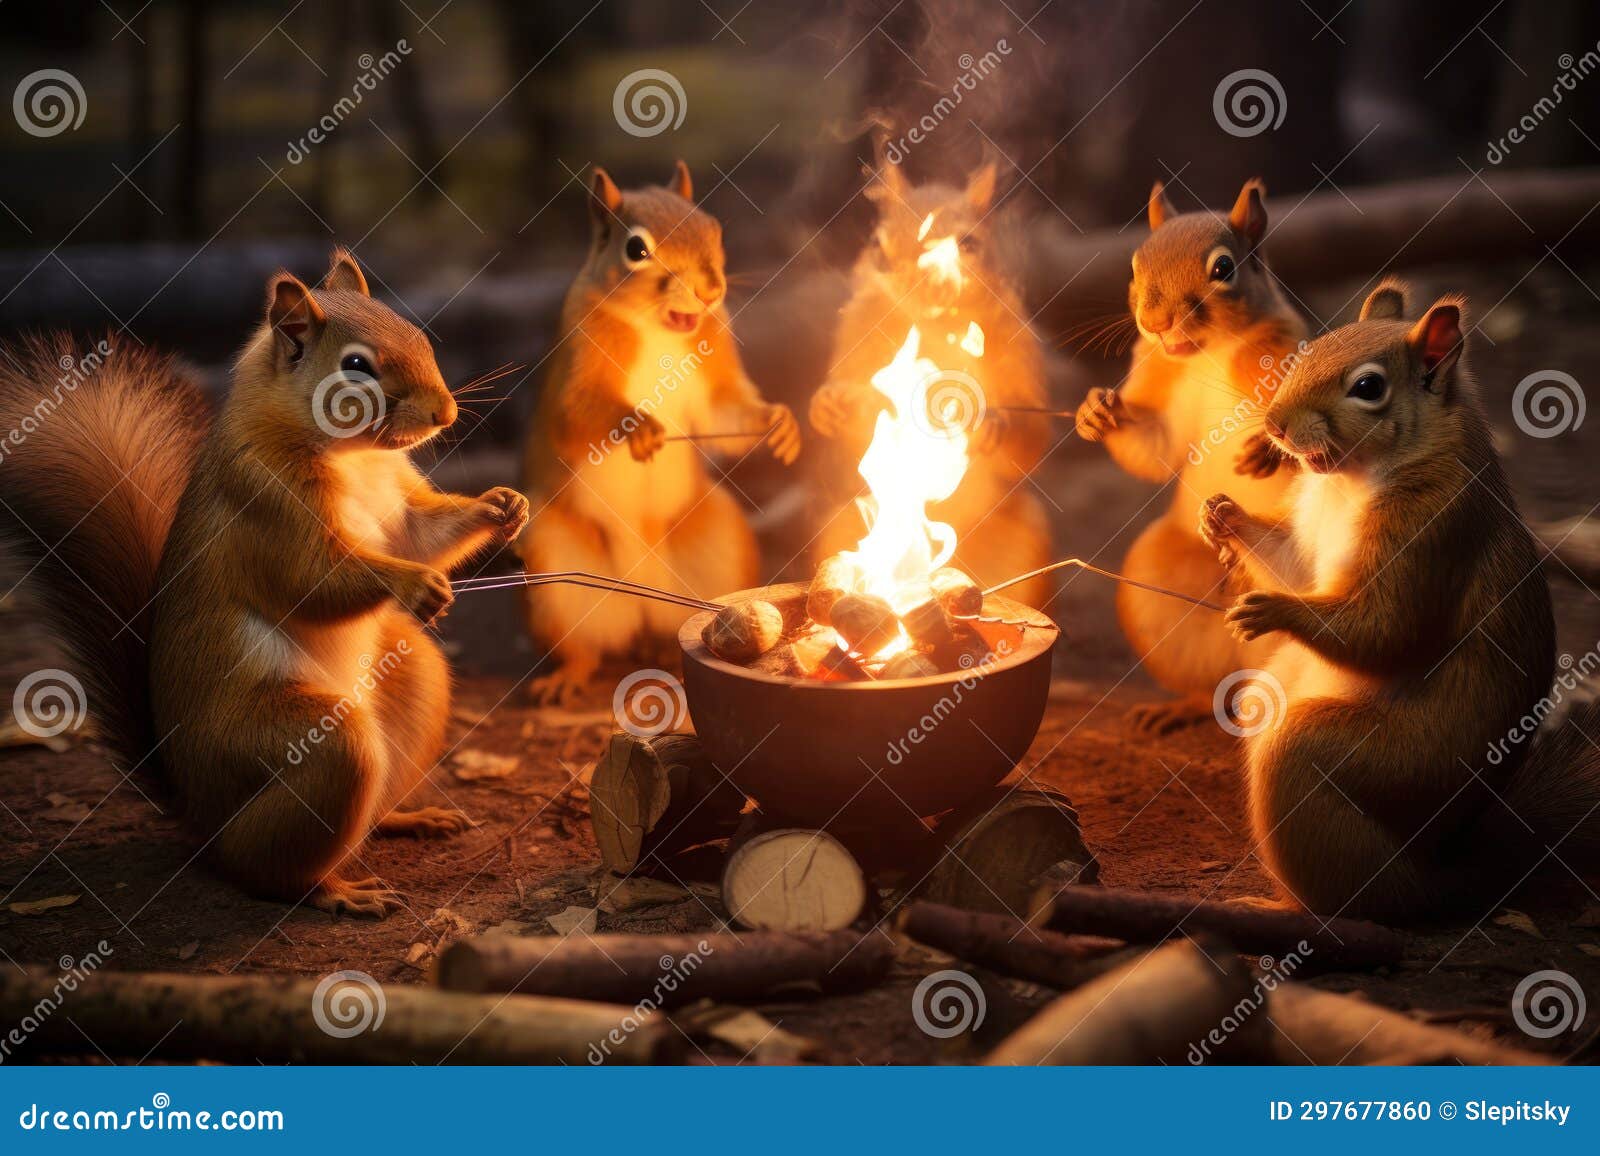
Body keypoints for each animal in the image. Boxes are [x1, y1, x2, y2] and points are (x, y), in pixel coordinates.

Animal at [0, 249, 528, 917]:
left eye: (419, 337)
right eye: (357, 366)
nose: (446, 414)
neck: (351, 457)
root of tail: (198, 813)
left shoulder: (398, 504)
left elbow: (422, 533)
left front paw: (502, 506)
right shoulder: (266, 505)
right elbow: (316, 576)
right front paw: (414, 586)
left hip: (415, 680)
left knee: (365, 811)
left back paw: (407, 820)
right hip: (301, 746)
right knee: (264, 867)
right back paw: (333, 892)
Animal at [518, 162, 800, 703]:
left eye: (714, 229)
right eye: (636, 249)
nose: (711, 290)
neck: (659, 330)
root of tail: (641, 598)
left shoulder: (715, 369)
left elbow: (726, 417)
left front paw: (779, 423)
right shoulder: (576, 365)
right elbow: (578, 414)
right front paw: (643, 429)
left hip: (722, 544)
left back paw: (667, 655)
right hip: (554, 569)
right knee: (583, 646)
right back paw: (567, 677)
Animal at [807, 160, 1054, 605]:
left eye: (969, 244)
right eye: (878, 244)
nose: (926, 287)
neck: (933, 330)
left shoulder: (1018, 349)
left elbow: (1034, 434)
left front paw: (994, 423)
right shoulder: (858, 337)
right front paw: (829, 405)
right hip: (841, 529)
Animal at [1075, 178, 1309, 733]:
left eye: (1223, 268)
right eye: (1134, 266)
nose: (1154, 321)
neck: (1211, 354)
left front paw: (1266, 450)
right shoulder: (1161, 392)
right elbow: (1153, 448)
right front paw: (1095, 412)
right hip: (1155, 591)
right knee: (1213, 689)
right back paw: (1182, 708)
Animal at [1199, 279, 1600, 921]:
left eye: (1368, 388)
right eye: (1308, 350)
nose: (1276, 425)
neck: (1354, 476)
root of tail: (1441, 878)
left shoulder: (1431, 531)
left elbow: (1386, 630)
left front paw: (1274, 610)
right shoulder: (1314, 540)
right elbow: (1298, 567)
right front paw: (1223, 516)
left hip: (1378, 760)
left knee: (1359, 892)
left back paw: (1287, 908)